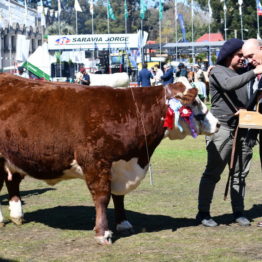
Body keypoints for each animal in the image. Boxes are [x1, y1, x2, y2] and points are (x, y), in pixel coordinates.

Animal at [0, 73, 219, 244]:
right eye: (194, 102)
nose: (217, 124)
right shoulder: (95, 162)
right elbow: (102, 197)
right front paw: (102, 233)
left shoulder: (119, 166)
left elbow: (118, 196)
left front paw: (123, 223)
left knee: (12, 182)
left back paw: (17, 215)